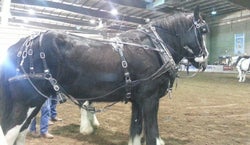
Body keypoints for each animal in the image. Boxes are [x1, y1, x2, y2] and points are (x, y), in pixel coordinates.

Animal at [0, 6, 209, 145]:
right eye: (204, 30)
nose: (205, 60)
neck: (153, 48)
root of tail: (21, 44)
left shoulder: (138, 100)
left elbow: (136, 130)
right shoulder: (150, 99)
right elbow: (151, 134)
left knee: (20, 133)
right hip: (26, 101)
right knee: (10, 132)